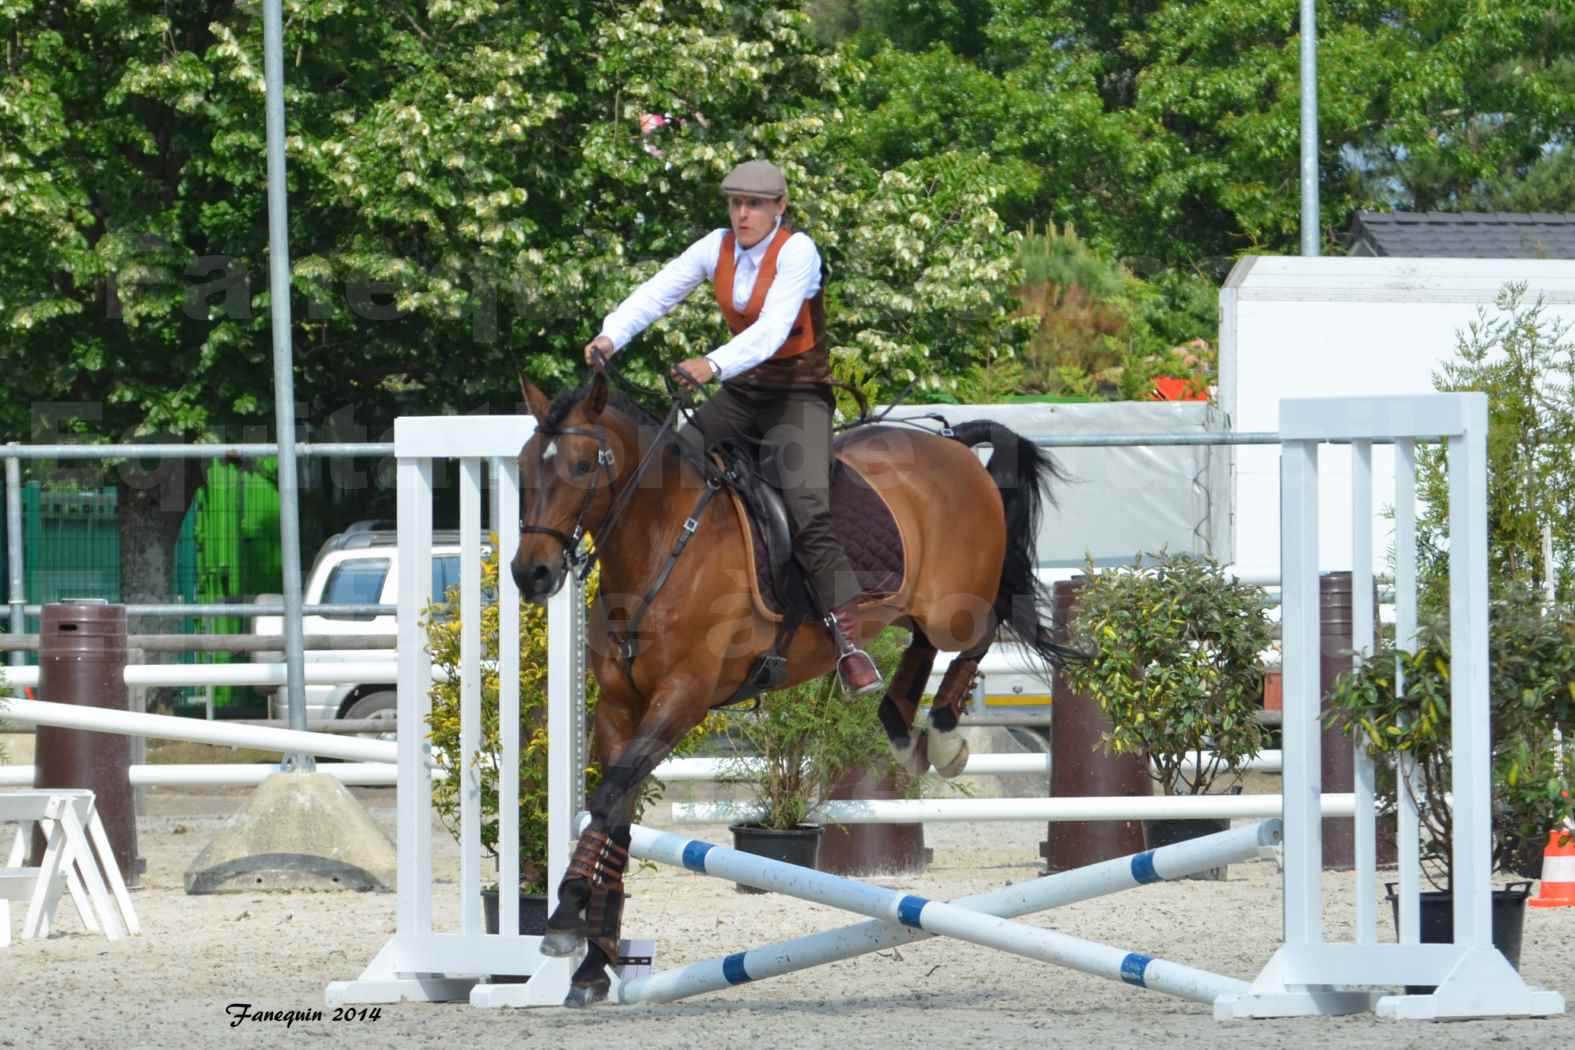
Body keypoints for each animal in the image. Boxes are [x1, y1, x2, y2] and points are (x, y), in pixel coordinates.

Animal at [510, 373, 1077, 1007]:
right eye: (526, 465)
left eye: (584, 465)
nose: (530, 574)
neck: (661, 546)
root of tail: (952, 444)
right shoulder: (618, 709)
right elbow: (615, 815)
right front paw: (592, 963)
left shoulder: (681, 700)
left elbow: (609, 801)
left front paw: (564, 920)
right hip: (911, 605)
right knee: (921, 645)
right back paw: (899, 723)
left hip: (954, 602)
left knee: (982, 626)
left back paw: (944, 735)